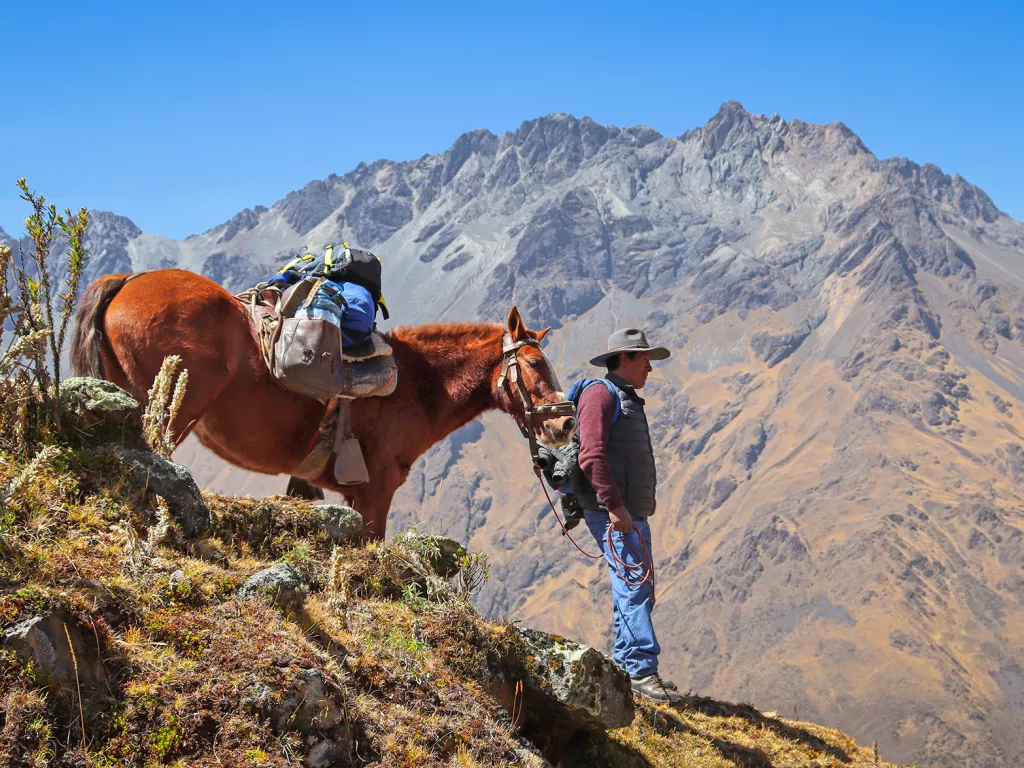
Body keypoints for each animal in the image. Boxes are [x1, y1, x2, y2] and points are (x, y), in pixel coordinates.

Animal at [71, 270, 577, 540]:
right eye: (535, 364)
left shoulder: (321, 485)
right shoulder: (375, 492)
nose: (564, 426)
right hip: (168, 414)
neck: (417, 384)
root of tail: (126, 282)